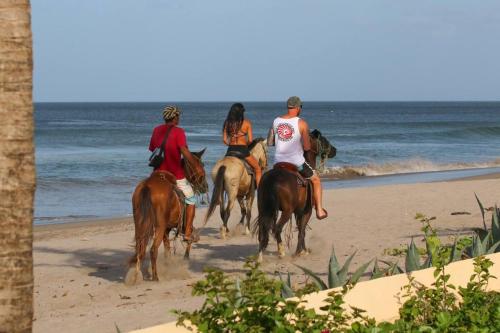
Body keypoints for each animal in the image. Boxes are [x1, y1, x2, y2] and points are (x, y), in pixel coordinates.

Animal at [129, 149, 209, 282]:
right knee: (153, 250)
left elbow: (167, 250)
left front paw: (169, 264)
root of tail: (147, 186)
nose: (205, 186)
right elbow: (189, 237)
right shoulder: (181, 226)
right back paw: (155, 277)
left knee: (140, 249)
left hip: (140, 224)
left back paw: (135, 276)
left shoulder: (167, 229)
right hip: (159, 227)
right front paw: (186, 256)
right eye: (202, 164)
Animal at [254, 129, 336, 260]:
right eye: (324, 140)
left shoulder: (298, 211)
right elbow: (302, 230)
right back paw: (281, 251)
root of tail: (272, 179)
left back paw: (260, 257)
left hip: (263, 209)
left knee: (263, 231)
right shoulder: (306, 211)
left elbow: (301, 229)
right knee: (277, 228)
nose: (334, 150)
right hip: (287, 211)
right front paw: (299, 251)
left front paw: (303, 249)